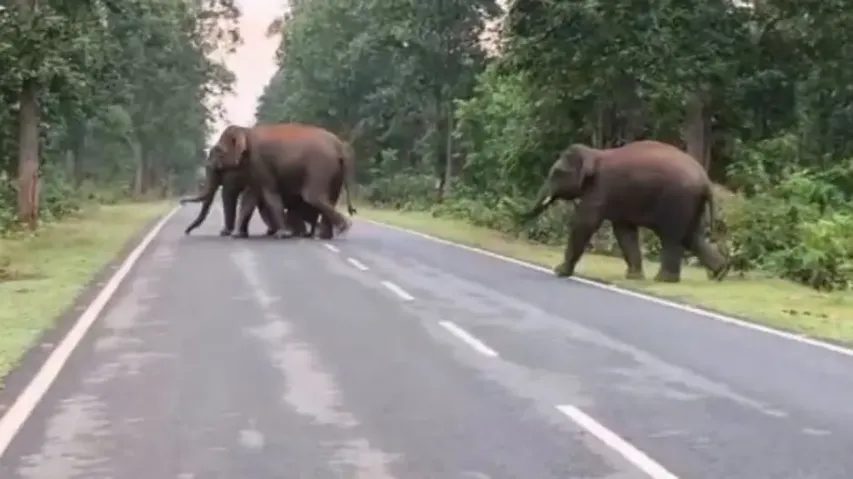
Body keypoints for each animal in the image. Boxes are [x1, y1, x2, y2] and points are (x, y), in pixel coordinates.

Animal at [206, 122, 357, 240]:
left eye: (219, 151)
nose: (224, 232)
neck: (245, 131)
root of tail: (340, 146)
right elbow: (250, 198)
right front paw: (236, 235)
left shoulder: (260, 162)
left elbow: (270, 193)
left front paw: (283, 235)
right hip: (335, 171)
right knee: (330, 198)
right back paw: (324, 236)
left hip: (321, 166)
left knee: (313, 197)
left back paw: (342, 228)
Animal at [519, 139, 730, 283]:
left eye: (557, 173)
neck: (595, 153)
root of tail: (706, 181)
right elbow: (624, 231)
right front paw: (634, 277)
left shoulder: (601, 188)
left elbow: (585, 224)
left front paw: (559, 271)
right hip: (692, 203)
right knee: (691, 236)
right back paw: (720, 272)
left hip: (678, 200)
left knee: (672, 237)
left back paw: (664, 280)